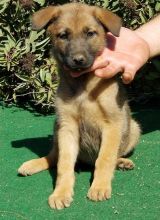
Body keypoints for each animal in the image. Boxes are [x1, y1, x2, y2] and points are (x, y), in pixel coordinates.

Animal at [18, 3, 140, 210]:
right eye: (63, 35)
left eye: (90, 33)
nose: (78, 60)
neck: (83, 85)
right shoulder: (67, 127)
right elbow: (64, 164)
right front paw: (61, 193)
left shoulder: (112, 125)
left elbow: (105, 159)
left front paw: (99, 187)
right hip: (57, 127)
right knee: (53, 157)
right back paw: (33, 164)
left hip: (133, 129)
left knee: (111, 156)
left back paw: (122, 162)